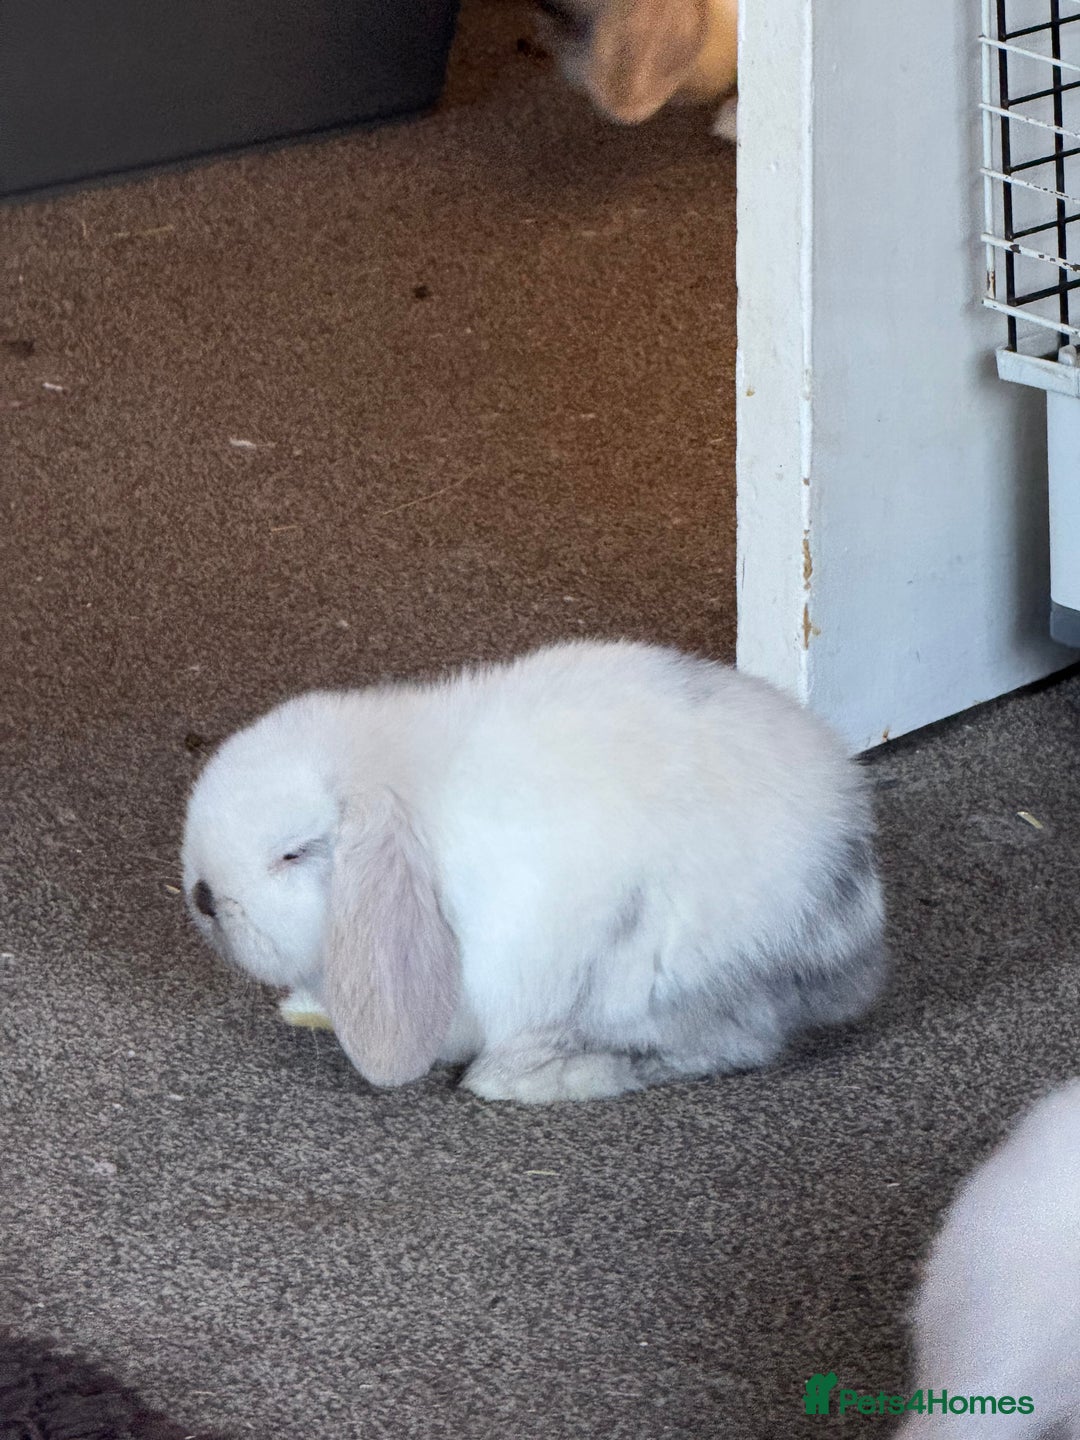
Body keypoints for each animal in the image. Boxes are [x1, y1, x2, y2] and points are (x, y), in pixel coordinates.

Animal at [180, 639, 887, 1104]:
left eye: (294, 852)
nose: (205, 897)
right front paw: (303, 1011)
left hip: (642, 974)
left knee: (726, 1046)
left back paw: (519, 1078)